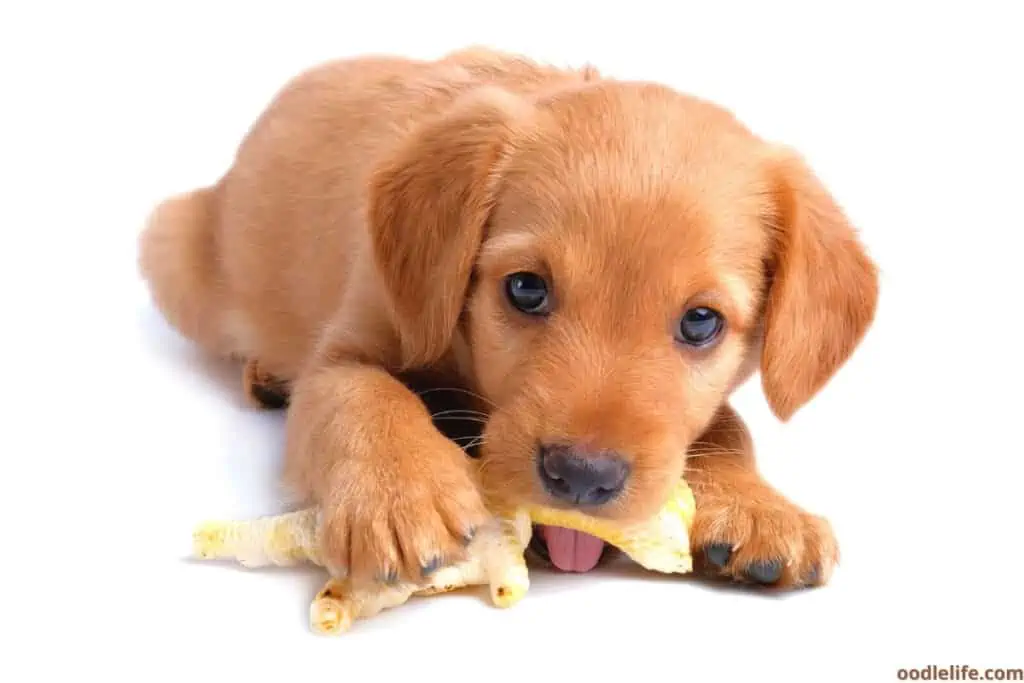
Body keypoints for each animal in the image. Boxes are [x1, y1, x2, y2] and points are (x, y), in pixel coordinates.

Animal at [142, 48, 880, 589]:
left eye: (701, 322)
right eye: (526, 289)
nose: (582, 476)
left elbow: (729, 425)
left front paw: (759, 508)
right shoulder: (348, 346)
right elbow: (360, 393)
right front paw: (402, 493)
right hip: (173, 250)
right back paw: (265, 371)